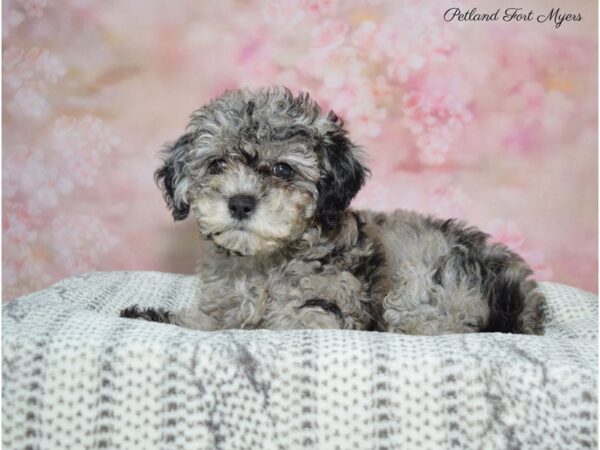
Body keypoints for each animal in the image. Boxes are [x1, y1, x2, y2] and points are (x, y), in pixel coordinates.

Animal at [119, 87, 548, 334]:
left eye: (283, 170)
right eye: (217, 165)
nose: (240, 202)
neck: (266, 262)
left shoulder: (328, 309)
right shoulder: (225, 306)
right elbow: (207, 322)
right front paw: (151, 315)